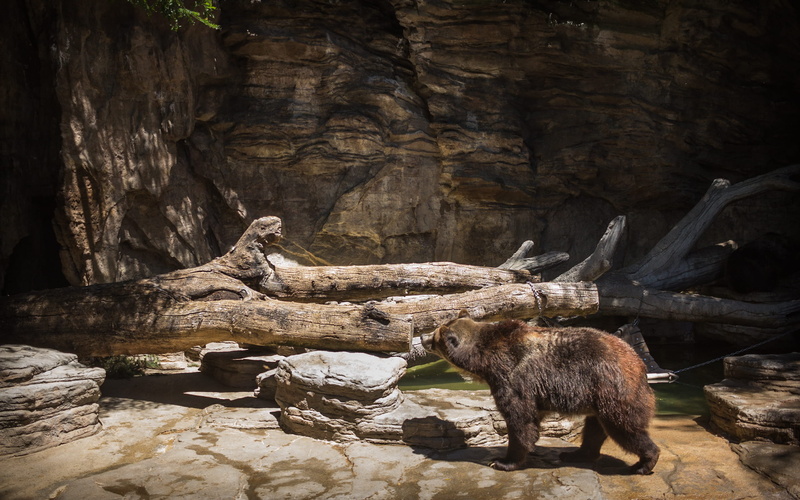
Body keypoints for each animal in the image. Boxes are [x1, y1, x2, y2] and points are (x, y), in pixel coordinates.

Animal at [420, 311, 660, 474]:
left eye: (435, 334)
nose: (422, 338)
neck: (485, 358)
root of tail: (639, 362)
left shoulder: (513, 377)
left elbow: (519, 418)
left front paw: (503, 461)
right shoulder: (537, 391)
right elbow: (534, 417)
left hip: (612, 389)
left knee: (624, 428)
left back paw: (644, 463)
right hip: (599, 398)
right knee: (595, 428)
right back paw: (575, 454)